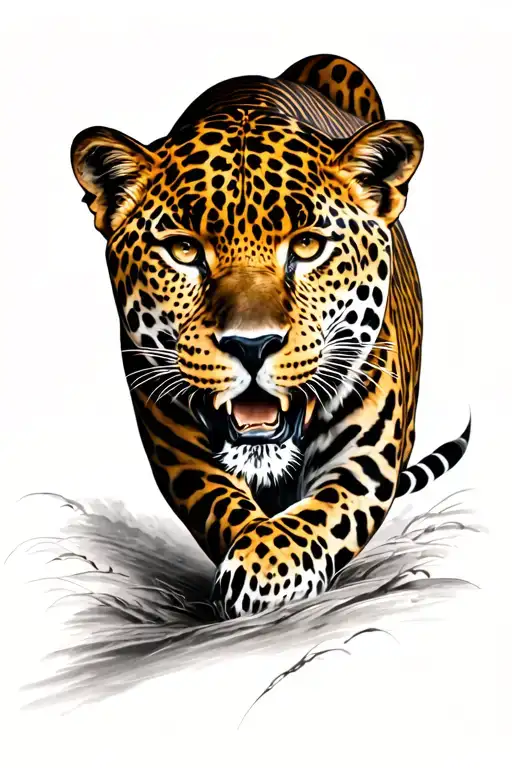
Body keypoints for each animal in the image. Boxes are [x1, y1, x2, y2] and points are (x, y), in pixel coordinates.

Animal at [71, 54, 470, 619]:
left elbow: (328, 510)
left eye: (306, 247)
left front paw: (267, 570)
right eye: (184, 250)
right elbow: (220, 501)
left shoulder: (370, 449)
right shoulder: (172, 437)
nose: (252, 345)